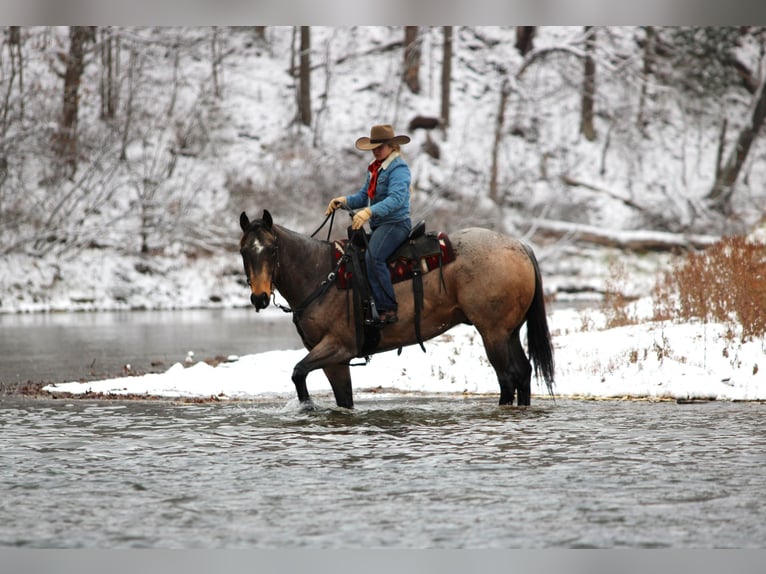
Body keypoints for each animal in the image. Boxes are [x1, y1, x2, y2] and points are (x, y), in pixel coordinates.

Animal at [239, 209, 554, 410]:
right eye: (244, 251)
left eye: (271, 250)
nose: (260, 297)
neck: (321, 274)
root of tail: (519, 245)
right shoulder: (335, 361)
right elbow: (342, 399)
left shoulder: (338, 347)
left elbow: (298, 373)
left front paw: (307, 408)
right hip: (509, 332)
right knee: (523, 373)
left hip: (493, 333)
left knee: (508, 378)